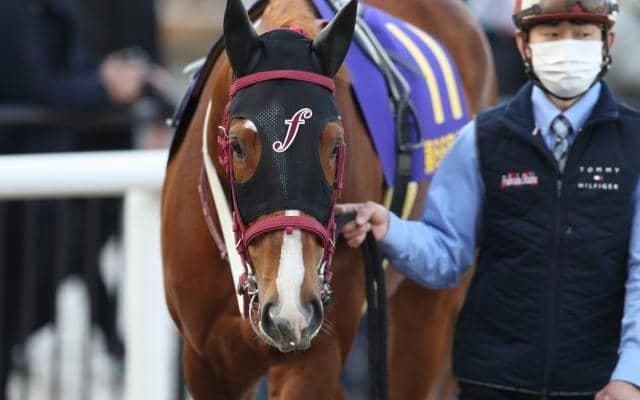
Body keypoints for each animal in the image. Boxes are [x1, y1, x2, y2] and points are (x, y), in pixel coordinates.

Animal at [161, 0, 497, 399]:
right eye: (238, 145)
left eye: (335, 144)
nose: (289, 302)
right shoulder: (207, 362)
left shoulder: (315, 355)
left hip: (430, 307)